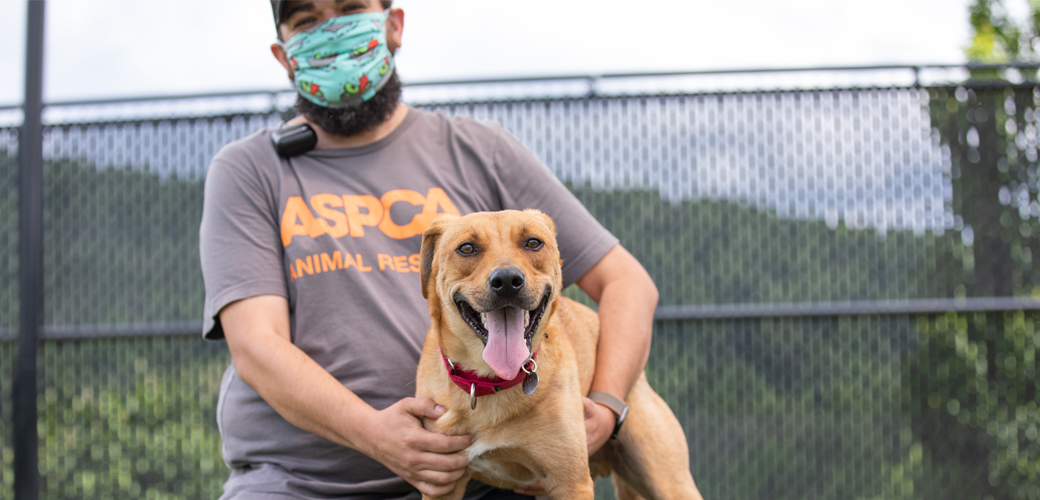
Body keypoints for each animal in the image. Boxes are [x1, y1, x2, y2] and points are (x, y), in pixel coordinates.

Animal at [418, 209, 703, 498]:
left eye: (533, 243)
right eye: (466, 248)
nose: (507, 281)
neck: (491, 381)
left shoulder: (571, 483)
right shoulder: (442, 484)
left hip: (671, 482)